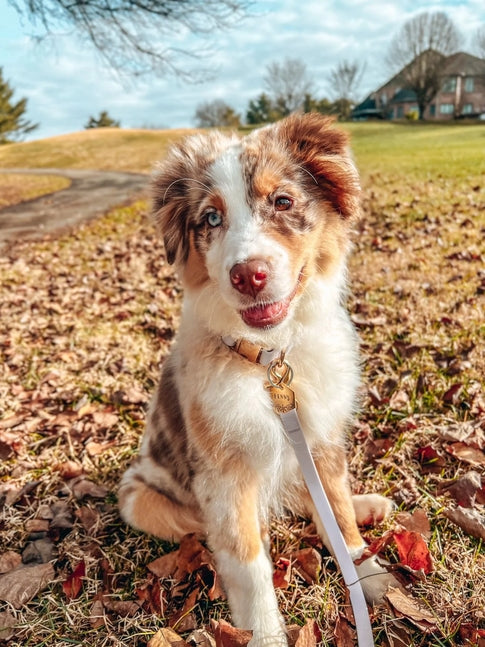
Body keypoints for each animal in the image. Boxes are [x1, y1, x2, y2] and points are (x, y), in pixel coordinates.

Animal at [118, 114, 398, 644]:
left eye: (283, 201)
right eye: (211, 219)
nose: (249, 276)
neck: (269, 359)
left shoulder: (321, 437)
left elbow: (336, 512)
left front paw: (370, 575)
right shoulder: (226, 477)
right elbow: (249, 567)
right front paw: (265, 633)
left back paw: (367, 504)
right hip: (139, 499)